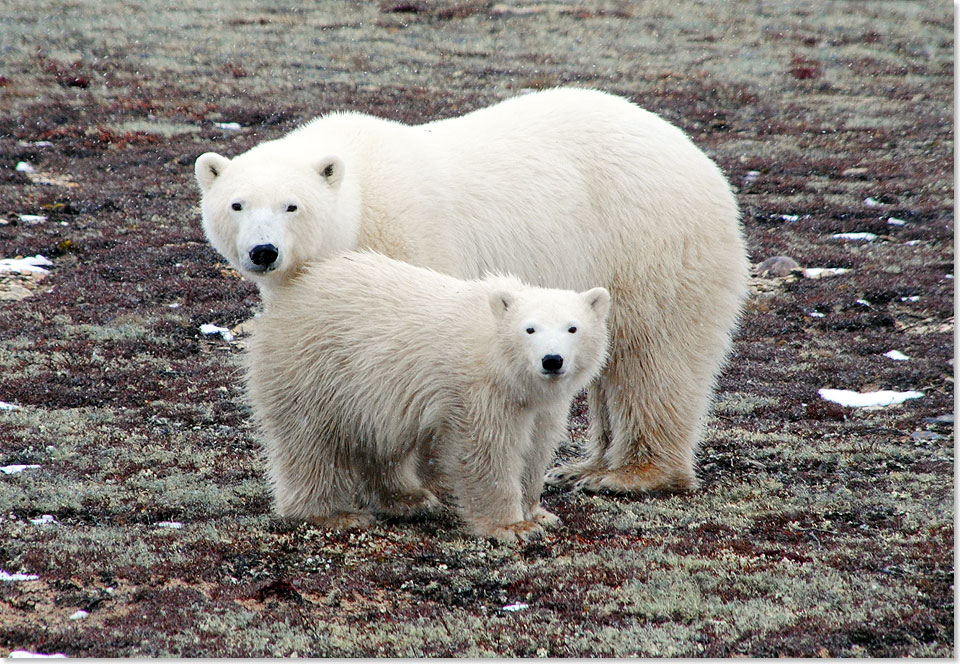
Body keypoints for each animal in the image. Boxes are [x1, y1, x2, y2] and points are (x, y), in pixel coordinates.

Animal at [197, 85, 752, 496]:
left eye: (292, 205)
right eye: (237, 204)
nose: (263, 252)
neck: (361, 196)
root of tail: (694, 152)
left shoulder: (410, 244)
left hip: (649, 243)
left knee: (654, 357)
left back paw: (630, 474)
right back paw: (582, 467)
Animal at [244, 252, 612, 544]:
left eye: (572, 328)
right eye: (530, 328)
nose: (552, 360)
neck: (496, 356)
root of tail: (289, 294)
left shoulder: (540, 404)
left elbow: (537, 447)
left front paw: (538, 513)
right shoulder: (479, 391)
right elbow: (486, 452)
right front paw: (512, 526)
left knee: (378, 442)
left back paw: (409, 498)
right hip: (314, 369)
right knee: (310, 444)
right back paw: (333, 514)